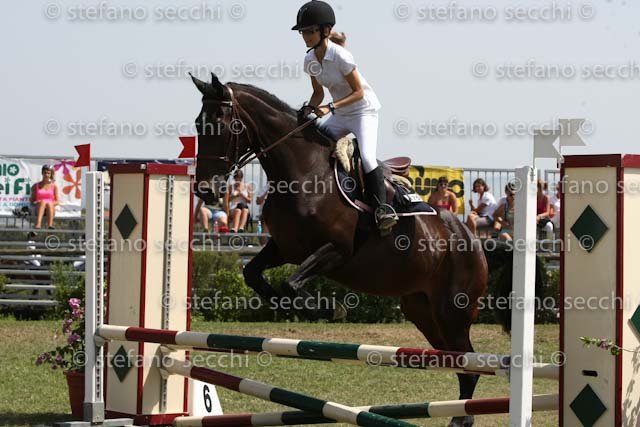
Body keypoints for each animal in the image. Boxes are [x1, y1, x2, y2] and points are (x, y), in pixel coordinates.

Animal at [192, 73, 490, 427]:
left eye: (224, 125)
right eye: (198, 124)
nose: (205, 191)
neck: (303, 171)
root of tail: (470, 238)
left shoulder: (337, 251)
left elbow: (291, 283)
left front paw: (329, 309)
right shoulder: (284, 248)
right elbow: (253, 274)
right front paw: (287, 305)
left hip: (452, 310)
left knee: (469, 364)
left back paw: (460, 418)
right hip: (421, 310)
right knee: (457, 361)